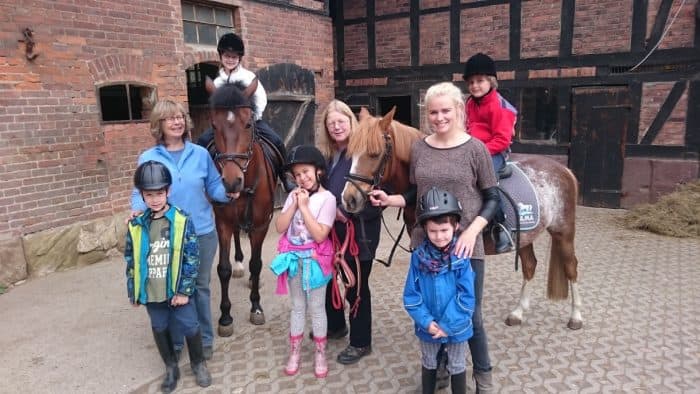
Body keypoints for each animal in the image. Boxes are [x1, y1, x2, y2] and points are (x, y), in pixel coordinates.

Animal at [342, 107, 584, 330]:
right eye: (351, 154)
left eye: (375, 153)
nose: (349, 199)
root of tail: (564, 170)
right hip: (526, 236)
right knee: (530, 265)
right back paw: (518, 313)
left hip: (563, 231)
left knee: (571, 266)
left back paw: (576, 316)